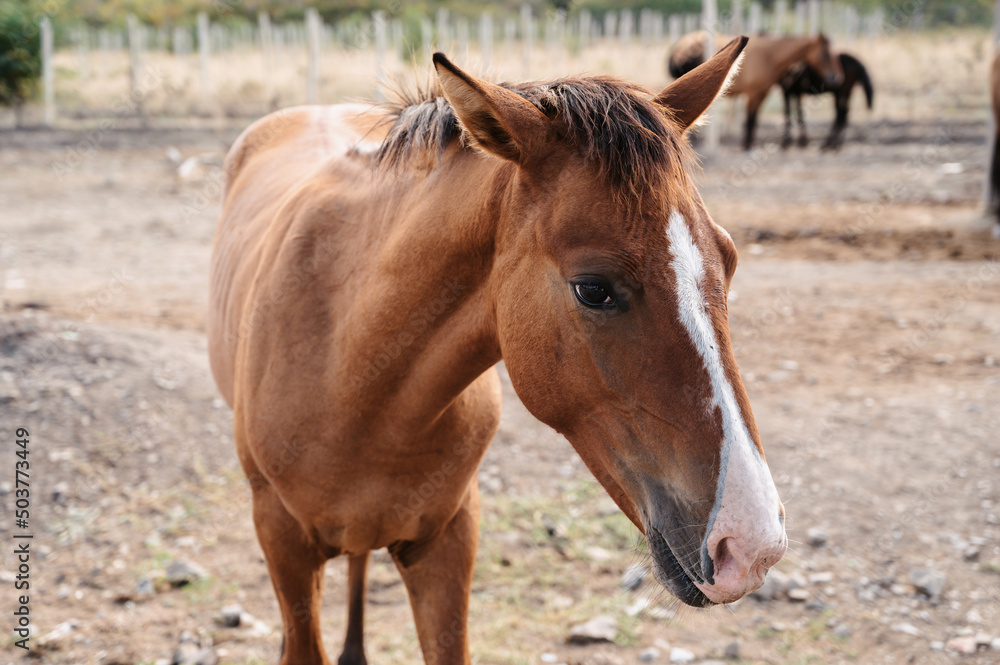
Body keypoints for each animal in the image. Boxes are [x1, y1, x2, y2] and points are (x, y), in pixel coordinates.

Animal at [209, 37, 788, 664]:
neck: (351, 370)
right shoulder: (284, 546)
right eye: (593, 288)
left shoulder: (449, 540)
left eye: (729, 257)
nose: (750, 547)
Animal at [668, 31, 840, 149]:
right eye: (825, 54)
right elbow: (750, 120)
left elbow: (754, 119)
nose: (835, 77)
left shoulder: (762, 93)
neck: (768, 56)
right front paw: (747, 145)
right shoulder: (753, 94)